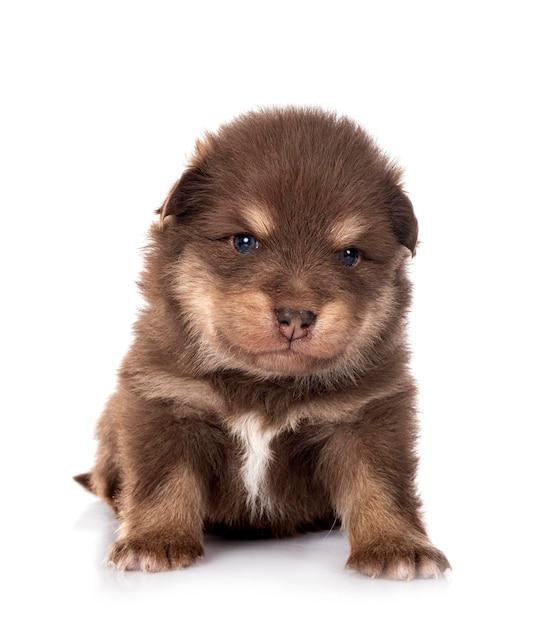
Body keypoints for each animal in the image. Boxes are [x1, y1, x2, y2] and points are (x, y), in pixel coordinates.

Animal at [75, 105, 450, 576]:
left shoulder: (368, 413)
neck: (264, 384)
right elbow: (162, 481)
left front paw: (397, 547)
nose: (296, 317)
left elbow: (380, 483)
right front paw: (152, 541)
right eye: (244, 241)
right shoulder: (165, 400)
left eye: (349, 254)